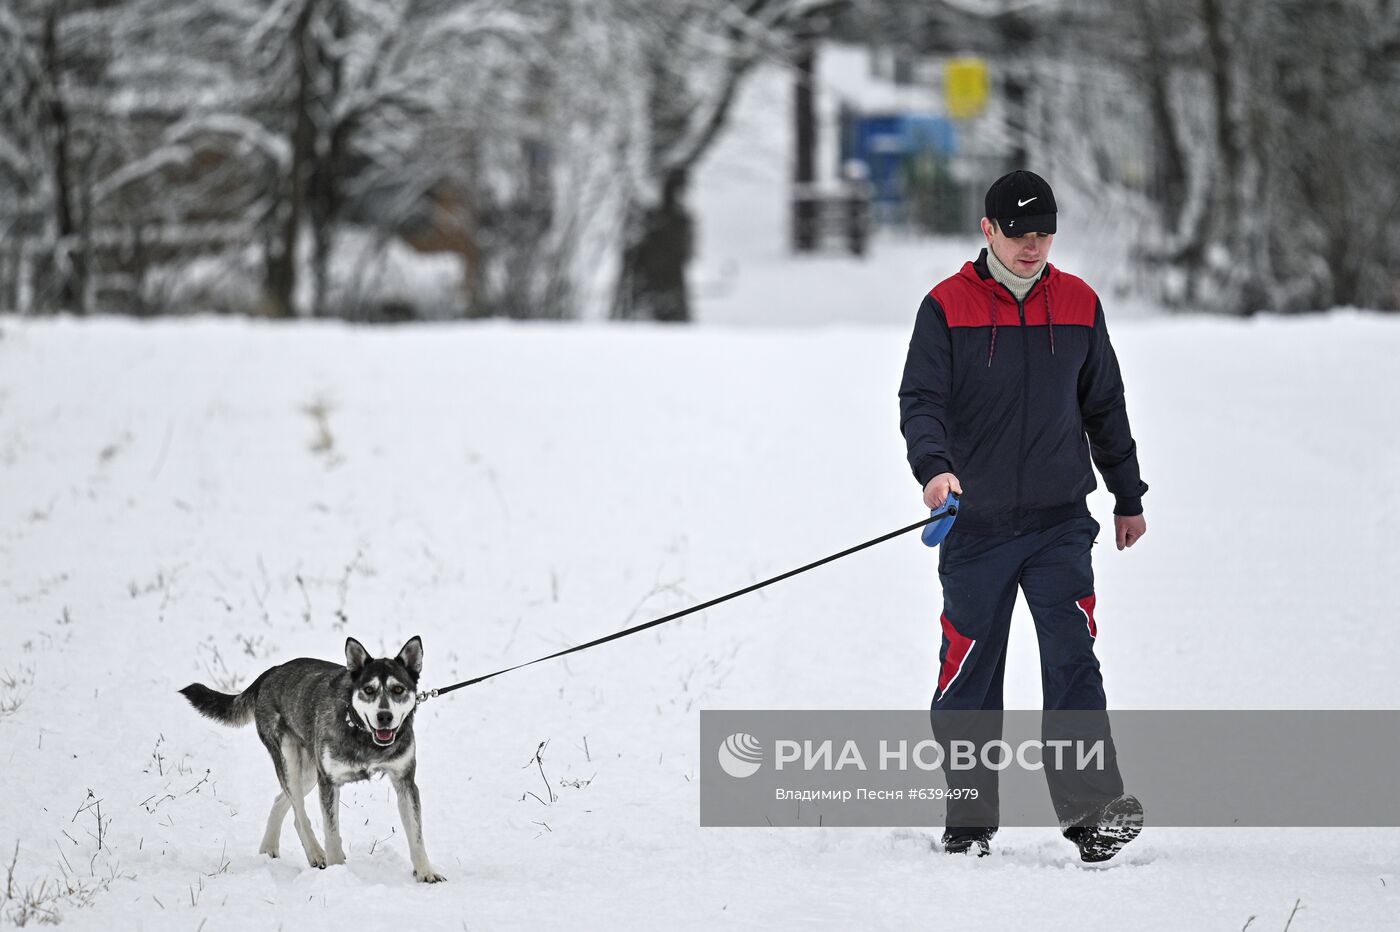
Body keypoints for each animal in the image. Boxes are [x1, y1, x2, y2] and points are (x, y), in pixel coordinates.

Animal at [179, 632, 442, 878]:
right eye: (369, 690)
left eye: (398, 689)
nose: (384, 716)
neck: (361, 733)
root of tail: (272, 671)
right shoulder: (329, 782)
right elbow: (331, 833)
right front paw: (337, 871)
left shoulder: (405, 781)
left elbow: (416, 834)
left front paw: (425, 872)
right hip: (290, 762)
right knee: (299, 815)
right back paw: (316, 854)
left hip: (308, 774)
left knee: (282, 801)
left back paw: (269, 847)